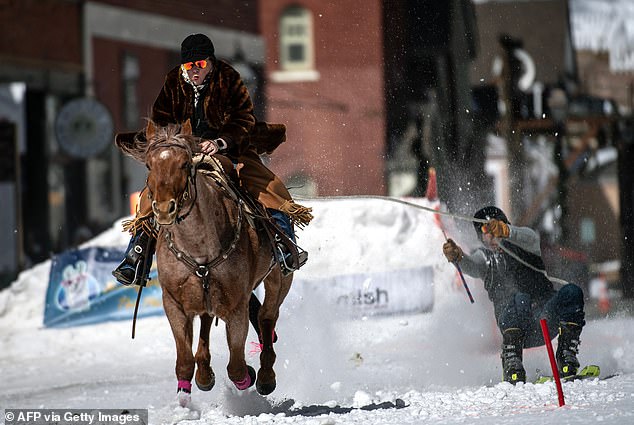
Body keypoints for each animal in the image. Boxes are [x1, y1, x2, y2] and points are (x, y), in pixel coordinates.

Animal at [138, 118, 292, 404]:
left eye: (184, 164)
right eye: (149, 165)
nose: (164, 209)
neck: (198, 247)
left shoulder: (237, 304)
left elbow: (237, 366)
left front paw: (248, 377)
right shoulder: (173, 303)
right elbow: (184, 360)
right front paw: (186, 396)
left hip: (279, 279)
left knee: (267, 317)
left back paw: (265, 376)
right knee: (207, 322)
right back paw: (205, 373)